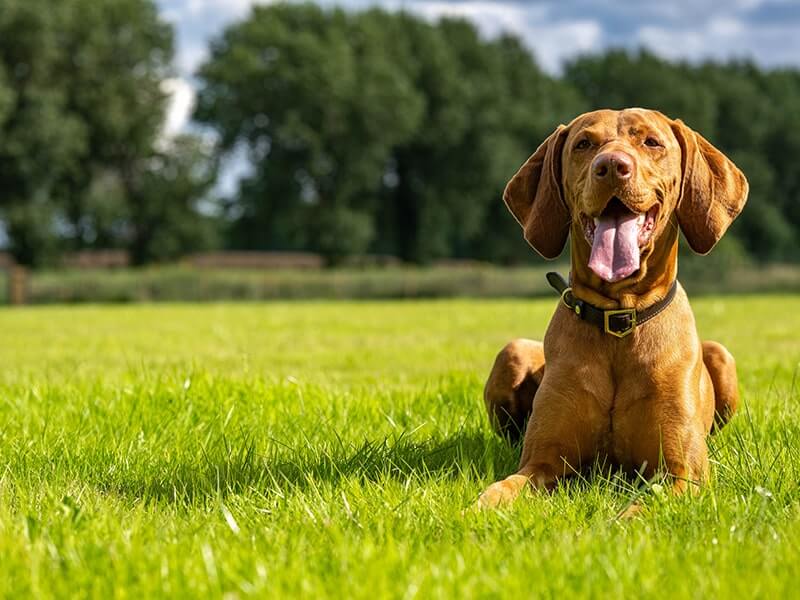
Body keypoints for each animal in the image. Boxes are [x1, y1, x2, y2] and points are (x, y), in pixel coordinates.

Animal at [478, 106, 748, 506]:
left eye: (651, 142)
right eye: (583, 144)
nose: (611, 166)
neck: (619, 320)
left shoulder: (683, 473)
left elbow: (643, 506)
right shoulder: (540, 464)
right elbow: (501, 489)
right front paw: (477, 508)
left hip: (721, 356)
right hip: (512, 353)